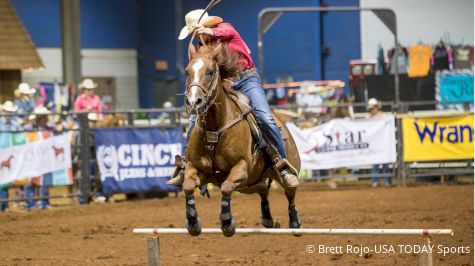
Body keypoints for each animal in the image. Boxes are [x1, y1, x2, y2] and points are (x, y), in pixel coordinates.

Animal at [182, 43, 302, 237]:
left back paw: (295, 223)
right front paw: (193, 222)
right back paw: (268, 219)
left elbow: (226, 187)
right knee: (263, 190)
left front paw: (227, 222)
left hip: (285, 170)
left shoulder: (242, 166)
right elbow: (187, 185)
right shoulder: (195, 166)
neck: (215, 129)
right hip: (250, 183)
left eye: (209, 72)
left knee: (290, 193)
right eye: (187, 71)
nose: (194, 102)